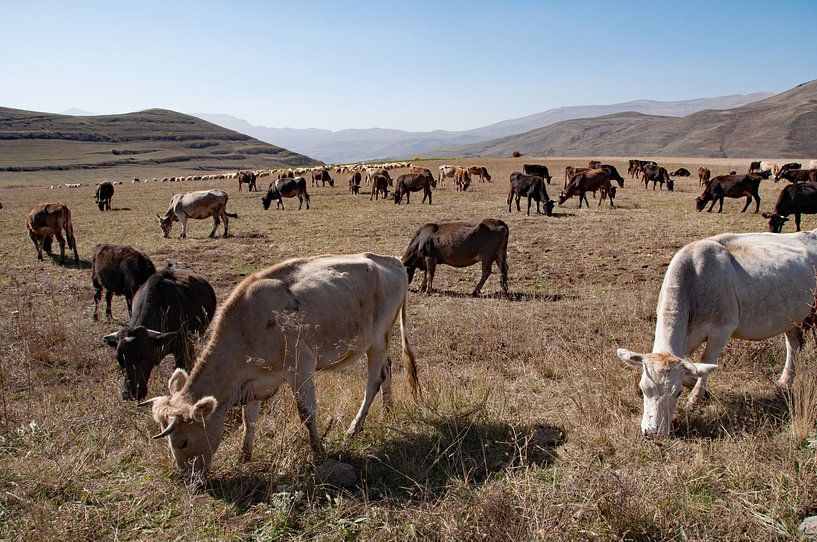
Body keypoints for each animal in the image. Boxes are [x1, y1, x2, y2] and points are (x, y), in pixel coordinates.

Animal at [140, 255, 418, 480]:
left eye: (183, 442)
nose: (189, 480)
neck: (246, 326)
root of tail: (391, 260)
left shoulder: (300, 366)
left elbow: (307, 413)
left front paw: (319, 451)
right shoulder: (253, 380)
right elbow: (249, 419)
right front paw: (244, 455)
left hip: (377, 339)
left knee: (373, 381)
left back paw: (354, 428)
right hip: (383, 340)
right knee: (386, 371)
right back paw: (388, 411)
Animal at [616, 228, 816, 438]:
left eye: (676, 393)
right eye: (643, 389)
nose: (653, 432)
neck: (695, 282)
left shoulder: (722, 330)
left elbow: (706, 360)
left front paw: (695, 397)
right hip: (792, 315)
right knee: (793, 344)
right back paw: (785, 381)